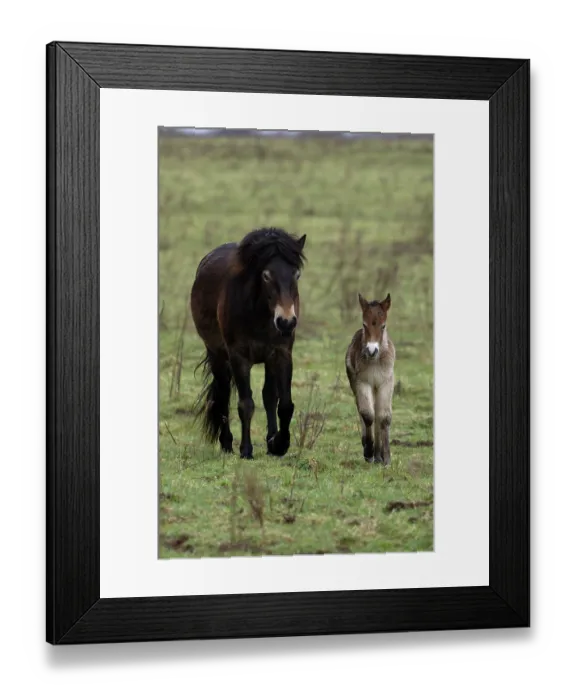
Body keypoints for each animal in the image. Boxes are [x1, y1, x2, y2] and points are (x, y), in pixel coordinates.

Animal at [190, 227, 307, 459]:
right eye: (266, 275)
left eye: (296, 274)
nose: (286, 322)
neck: (260, 313)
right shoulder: (239, 356)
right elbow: (246, 404)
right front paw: (246, 450)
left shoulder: (281, 353)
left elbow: (284, 403)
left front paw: (278, 444)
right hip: (218, 355)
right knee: (223, 395)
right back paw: (227, 443)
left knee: (269, 396)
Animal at [345, 293, 396, 464]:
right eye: (364, 324)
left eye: (383, 326)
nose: (371, 350)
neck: (375, 361)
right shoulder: (362, 382)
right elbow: (367, 414)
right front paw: (368, 451)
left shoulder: (386, 383)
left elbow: (384, 417)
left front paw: (386, 458)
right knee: (364, 410)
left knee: (377, 413)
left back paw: (379, 455)